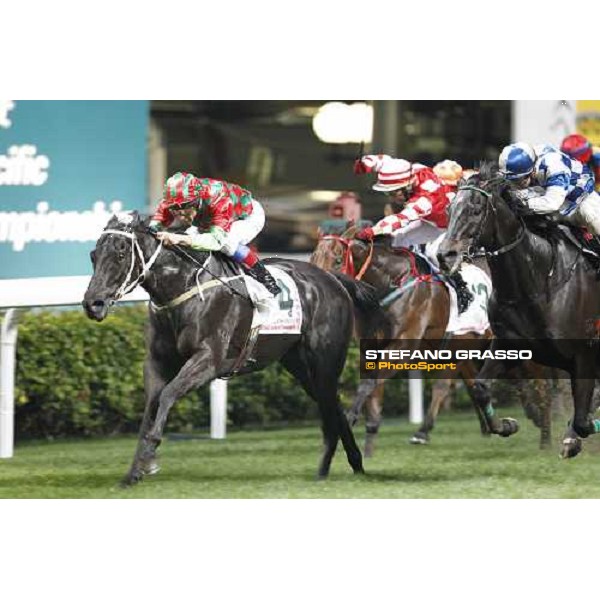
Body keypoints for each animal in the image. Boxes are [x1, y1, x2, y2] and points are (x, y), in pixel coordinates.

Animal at [436, 162, 600, 458]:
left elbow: (582, 420)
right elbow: (480, 388)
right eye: (449, 209)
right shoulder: (509, 345)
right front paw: (506, 424)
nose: (445, 255)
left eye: (476, 209)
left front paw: (571, 438)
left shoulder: (585, 354)